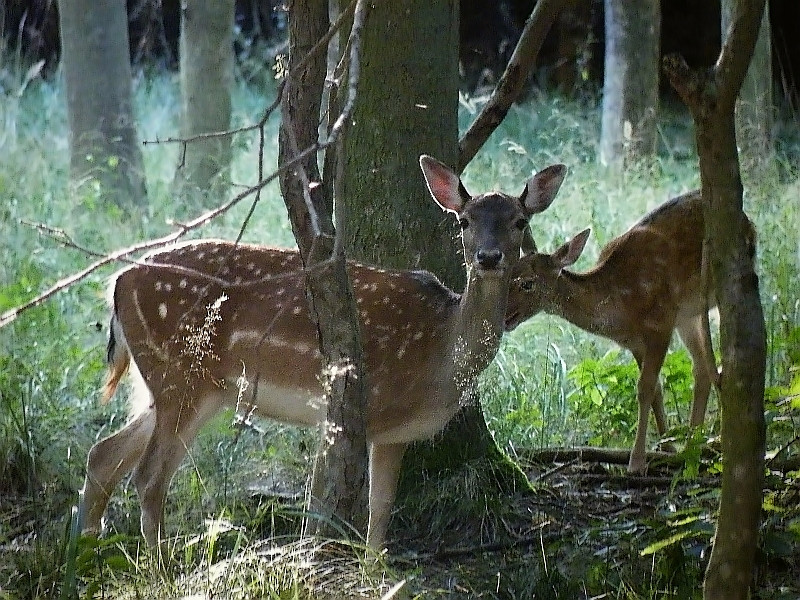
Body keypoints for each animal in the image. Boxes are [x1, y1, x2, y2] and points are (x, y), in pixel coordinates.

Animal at [79, 157, 568, 552]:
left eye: (520, 221)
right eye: (464, 220)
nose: (488, 257)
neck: (441, 353)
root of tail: (118, 282)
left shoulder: (394, 432)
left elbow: (380, 512)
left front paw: (375, 571)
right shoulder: (357, 406)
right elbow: (338, 501)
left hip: (182, 384)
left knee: (104, 455)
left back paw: (85, 555)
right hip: (181, 375)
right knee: (148, 477)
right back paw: (158, 570)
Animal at [506, 192, 756, 474]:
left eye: (528, 283)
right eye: (509, 274)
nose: (502, 315)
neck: (620, 307)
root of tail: (750, 223)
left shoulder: (660, 324)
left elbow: (644, 387)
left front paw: (636, 462)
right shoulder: (635, 342)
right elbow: (656, 389)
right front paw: (666, 448)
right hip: (687, 316)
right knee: (701, 366)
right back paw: (693, 446)